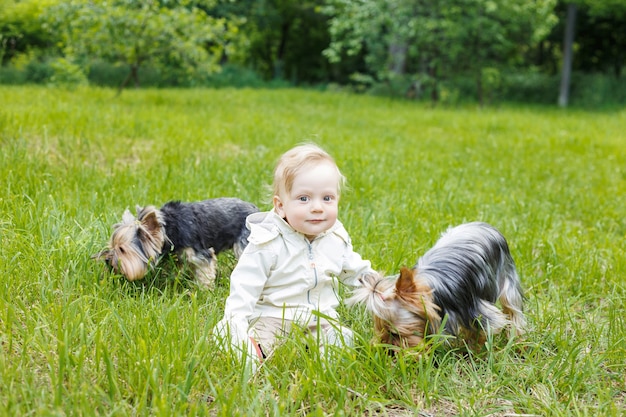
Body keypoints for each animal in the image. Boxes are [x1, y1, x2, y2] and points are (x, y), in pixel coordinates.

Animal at [93, 197, 258, 288]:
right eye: (112, 247)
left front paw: (203, 291)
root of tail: (256, 209)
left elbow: (204, 273)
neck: (169, 230)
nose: (107, 260)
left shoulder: (201, 254)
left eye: (122, 249)